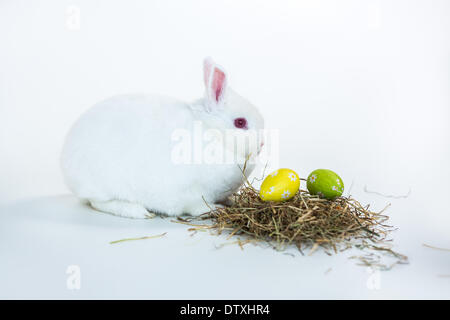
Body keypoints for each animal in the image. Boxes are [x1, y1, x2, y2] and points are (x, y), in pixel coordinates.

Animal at [59, 57, 264, 218]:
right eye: (240, 122)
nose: (262, 144)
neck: (212, 134)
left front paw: (231, 201)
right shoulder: (192, 193)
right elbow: (197, 206)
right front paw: (216, 209)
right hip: (104, 185)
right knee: (98, 203)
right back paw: (138, 212)